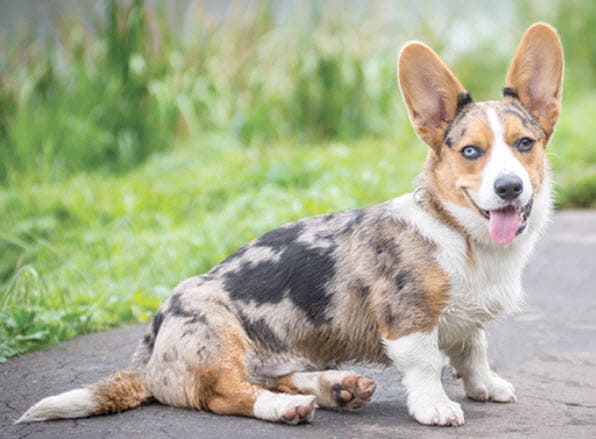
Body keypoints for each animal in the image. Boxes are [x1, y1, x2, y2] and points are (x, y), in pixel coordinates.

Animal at [17, 22, 564, 428]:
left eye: (524, 144)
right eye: (471, 151)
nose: (509, 188)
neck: (463, 236)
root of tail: (149, 359)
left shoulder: (466, 321)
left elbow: (474, 350)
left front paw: (486, 387)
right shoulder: (410, 319)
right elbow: (428, 362)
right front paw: (436, 407)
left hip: (276, 355)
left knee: (271, 377)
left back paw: (335, 387)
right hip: (218, 337)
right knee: (227, 394)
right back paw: (287, 407)